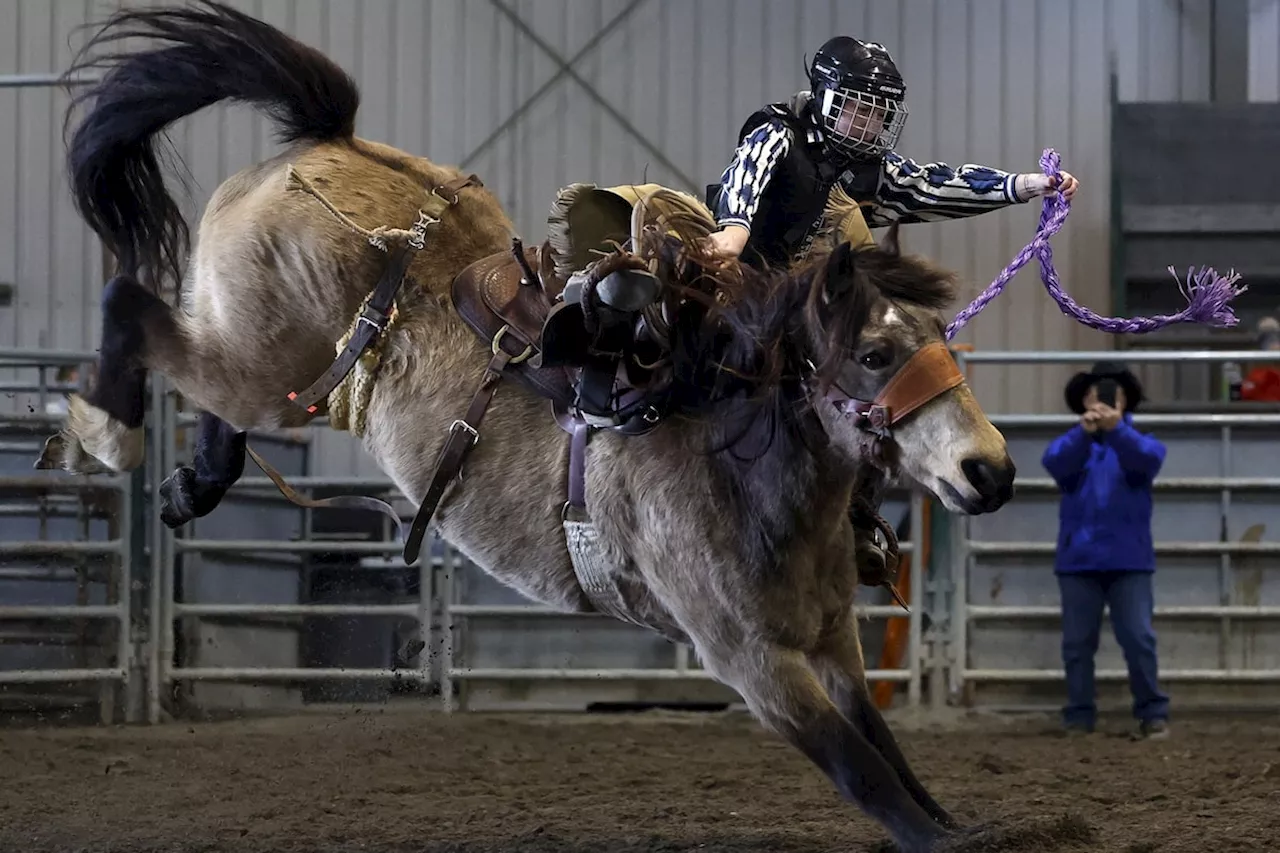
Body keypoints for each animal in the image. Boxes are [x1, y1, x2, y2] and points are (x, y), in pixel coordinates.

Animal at [42, 3, 1018, 845]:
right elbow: (861, 769)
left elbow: (886, 748)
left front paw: (963, 820)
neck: (739, 451)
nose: (993, 471)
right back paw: (103, 428)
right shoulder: (749, 658)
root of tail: (331, 140)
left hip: (269, 364)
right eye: (875, 355)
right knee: (130, 305)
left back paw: (183, 484)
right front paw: (940, 835)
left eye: (942, 338)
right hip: (258, 351)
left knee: (212, 400)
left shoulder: (835, 640)